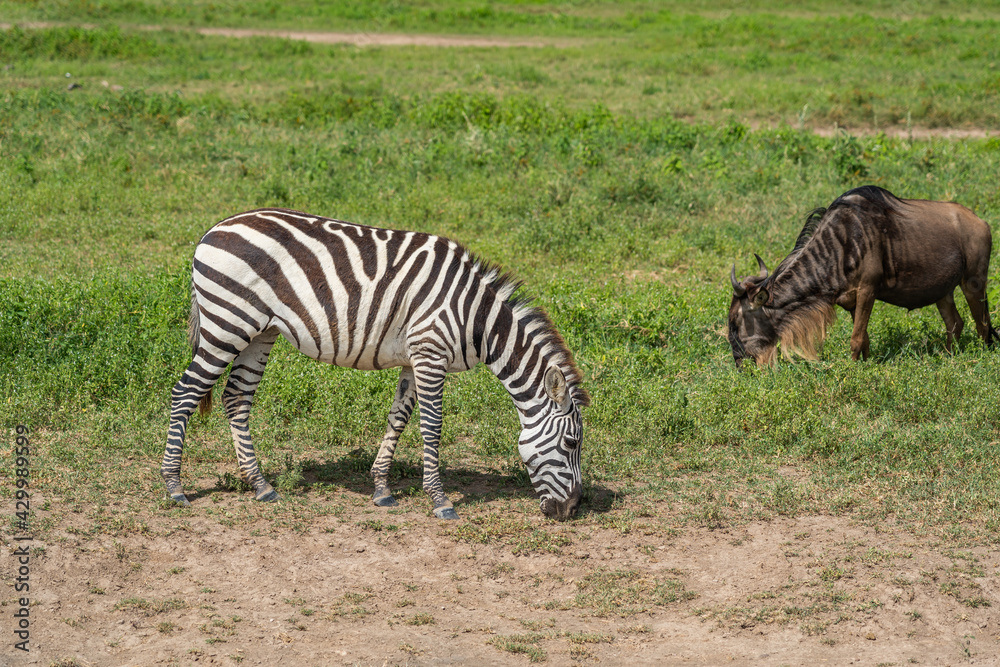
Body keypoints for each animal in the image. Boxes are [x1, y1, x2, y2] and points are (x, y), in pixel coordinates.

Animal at [161, 208, 590, 520]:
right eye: (572, 443)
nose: (571, 511)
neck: (477, 317)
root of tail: (214, 229)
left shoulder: (414, 360)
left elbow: (398, 419)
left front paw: (381, 489)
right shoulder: (430, 355)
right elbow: (431, 428)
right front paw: (440, 500)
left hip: (258, 332)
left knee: (236, 398)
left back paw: (261, 485)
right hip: (227, 324)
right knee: (184, 393)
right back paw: (174, 487)